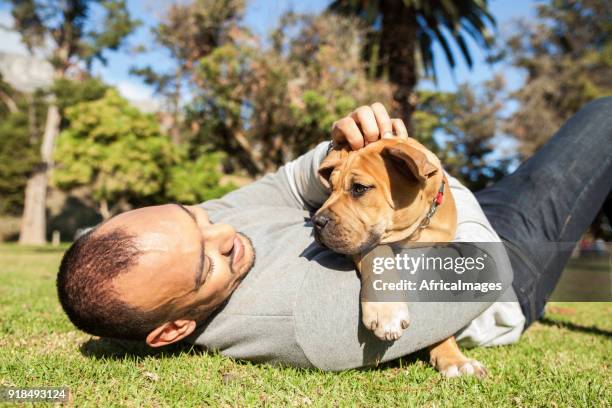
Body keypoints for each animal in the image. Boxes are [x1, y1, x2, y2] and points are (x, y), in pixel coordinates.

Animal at [314, 138, 486, 380]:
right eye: (330, 189)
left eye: (359, 188)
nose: (316, 222)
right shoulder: (366, 241)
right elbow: (378, 252)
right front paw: (387, 312)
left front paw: (454, 359)